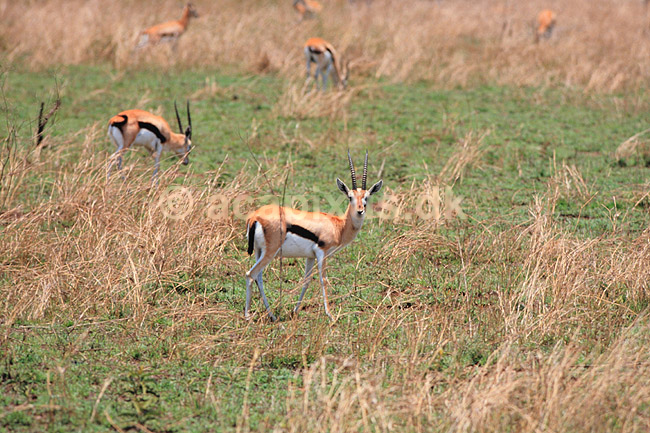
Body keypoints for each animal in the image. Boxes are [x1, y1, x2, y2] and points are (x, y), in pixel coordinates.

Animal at [244, 151, 383, 321]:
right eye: (350, 197)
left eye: (366, 197)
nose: (360, 211)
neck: (338, 225)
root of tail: (255, 217)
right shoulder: (321, 252)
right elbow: (323, 280)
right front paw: (331, 315)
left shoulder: (310, 256)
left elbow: (306, 281)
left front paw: (295, 311)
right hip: (270, 252)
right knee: (251, 274)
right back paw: (248, 317)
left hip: (259, 252)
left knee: (259, 278)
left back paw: (272, 316)